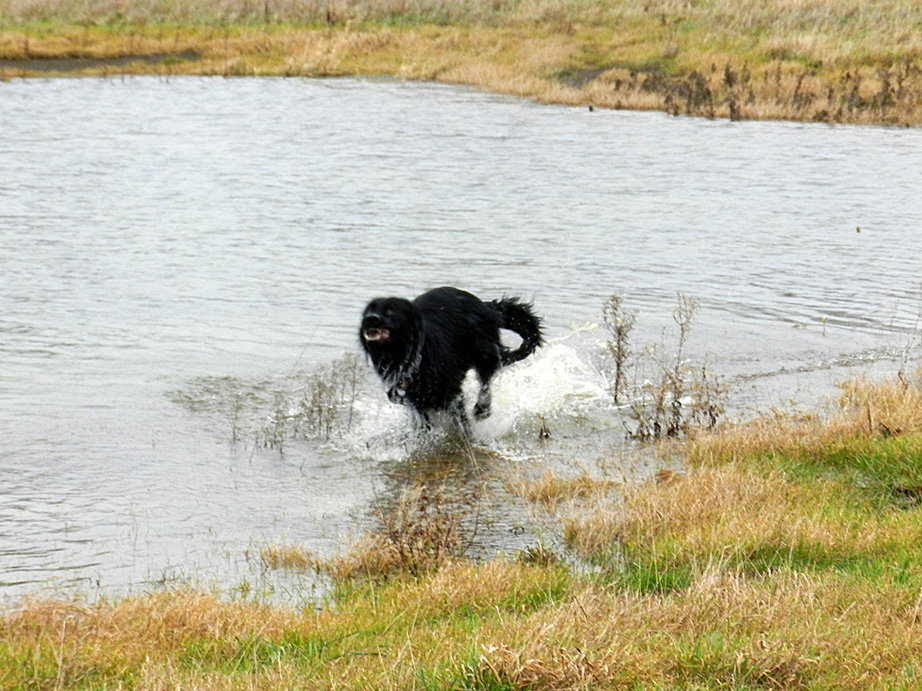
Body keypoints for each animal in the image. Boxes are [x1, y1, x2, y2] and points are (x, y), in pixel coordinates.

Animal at [360, 286, 544, 428]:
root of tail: (484, 305)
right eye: (369, 310)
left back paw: (481, 409)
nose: (370, 319)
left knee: (485, 382)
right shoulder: (415, 397)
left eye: (390, 312)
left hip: (484, 353)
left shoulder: (450, 391)